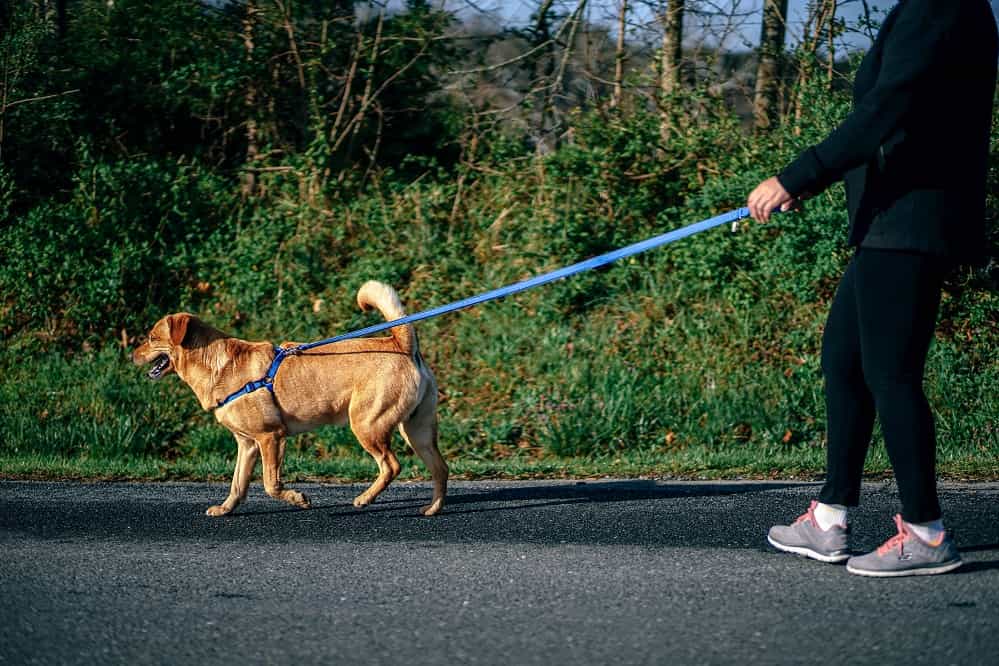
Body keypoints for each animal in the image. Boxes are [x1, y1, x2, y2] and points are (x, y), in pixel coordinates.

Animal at [132, 278, 446, 512]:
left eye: (151, 338)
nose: (131, 354)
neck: (215, 364)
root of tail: (400, 344)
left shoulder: (271, 437)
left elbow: (270, 484)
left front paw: (298, 499)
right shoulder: (247, 444)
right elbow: (237, 483)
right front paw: (226, 508)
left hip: (367, 424)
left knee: (392, 465)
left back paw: (365, 498)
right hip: (415, 430)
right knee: (439, 467)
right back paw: (433, 508)